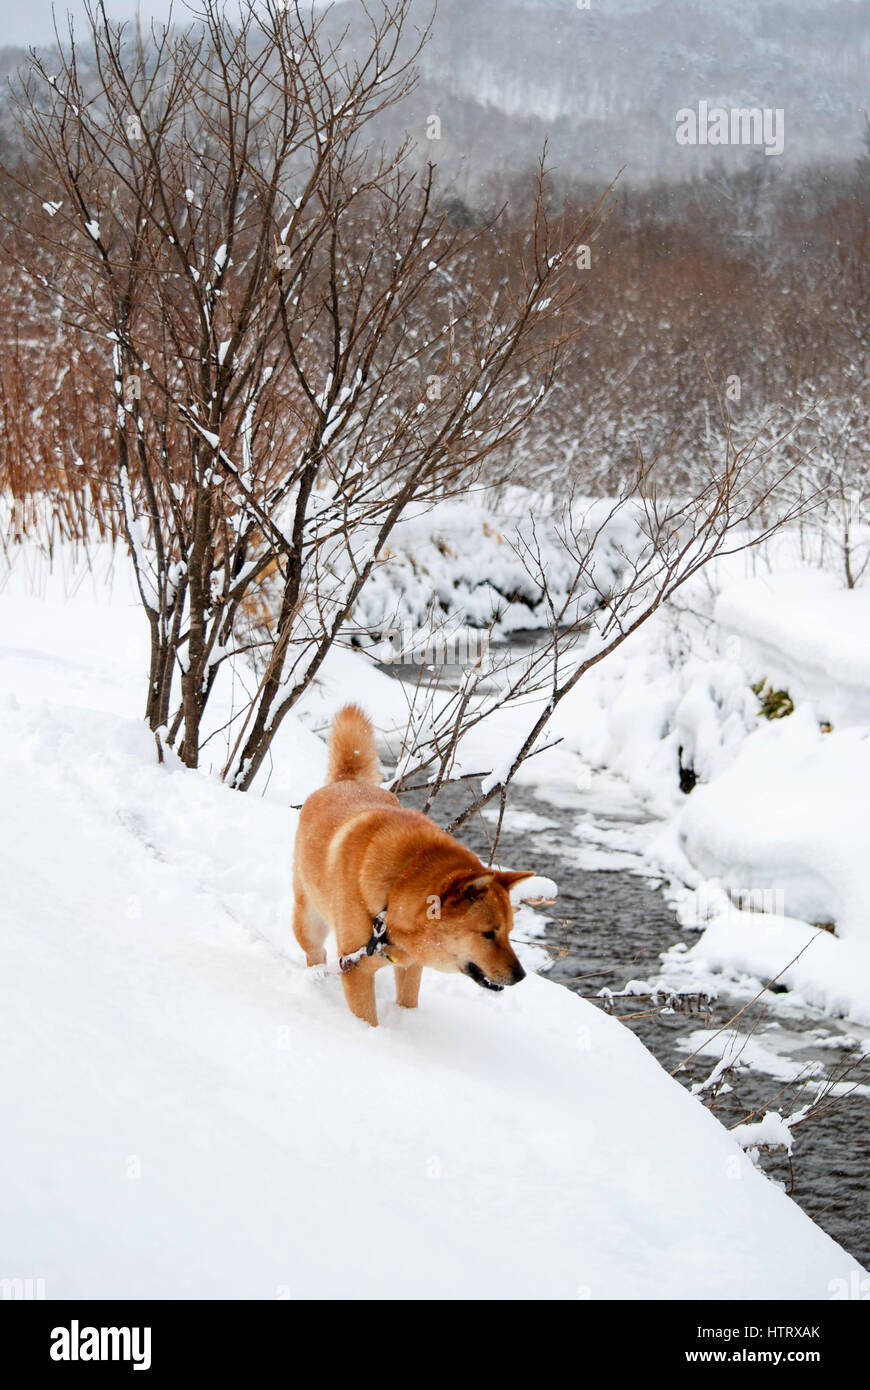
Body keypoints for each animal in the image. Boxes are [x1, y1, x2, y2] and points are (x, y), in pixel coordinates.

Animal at [294, 706, 530, 1023]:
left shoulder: (409, 965)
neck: (393, 893)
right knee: (315, 954)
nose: (521, 975)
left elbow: (407, 1001)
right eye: (488, 933)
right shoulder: (355, 970)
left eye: (508, 932)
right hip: (309, 921)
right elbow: (367, 1020)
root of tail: (347, 780)